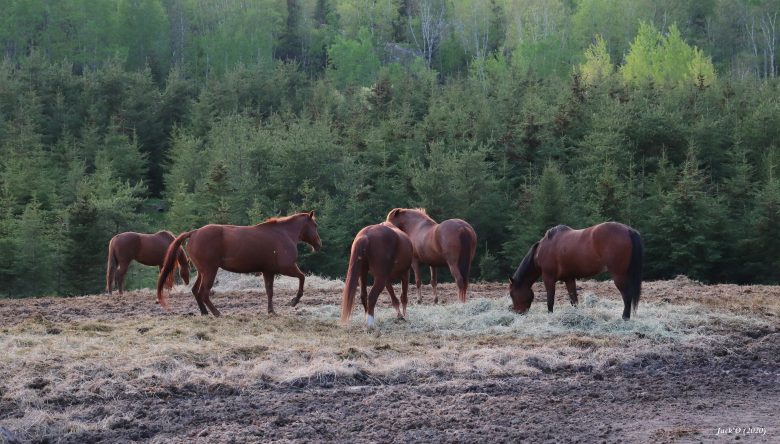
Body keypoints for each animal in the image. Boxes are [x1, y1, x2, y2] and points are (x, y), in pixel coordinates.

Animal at [157, 212, 322, 316]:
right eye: (315, 225)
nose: (319, 244)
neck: (283, 234)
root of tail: (194, 232)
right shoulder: (286, 267)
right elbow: (302, 278)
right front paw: (294, 301)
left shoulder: (268, 271)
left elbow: (269, 291)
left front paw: (271, 311)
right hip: (210, 271)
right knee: (203, 292)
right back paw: (216, 313)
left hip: (202, 272)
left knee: (196, 291)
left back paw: (204, 312)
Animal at [508, 222, 644, 320]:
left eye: (511, 294)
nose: (518, 313)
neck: (541, 251)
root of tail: (629, 230)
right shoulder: (569, 278)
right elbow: (573, 300)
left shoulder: (548, 278)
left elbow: (550, 300)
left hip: (619, 275)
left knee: (627, 296)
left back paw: (625, 318)